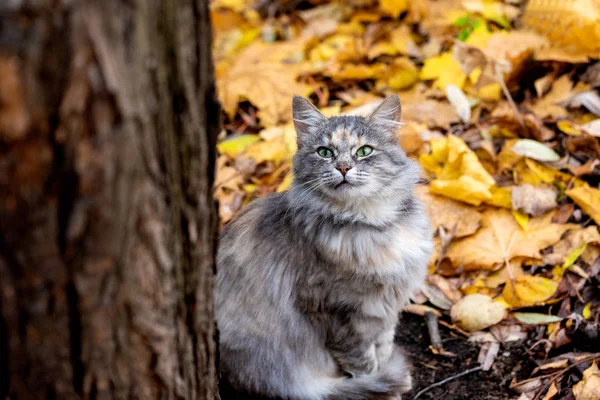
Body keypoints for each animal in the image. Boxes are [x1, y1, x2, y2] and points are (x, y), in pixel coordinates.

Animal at [216, 94, 432, 400]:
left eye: (364, 151)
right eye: (325, 152)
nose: (343, 168)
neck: (371, 224)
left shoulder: (386, 311)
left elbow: (383, 348)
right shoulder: (337, 311)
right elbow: (365, 364)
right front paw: (383, 389)